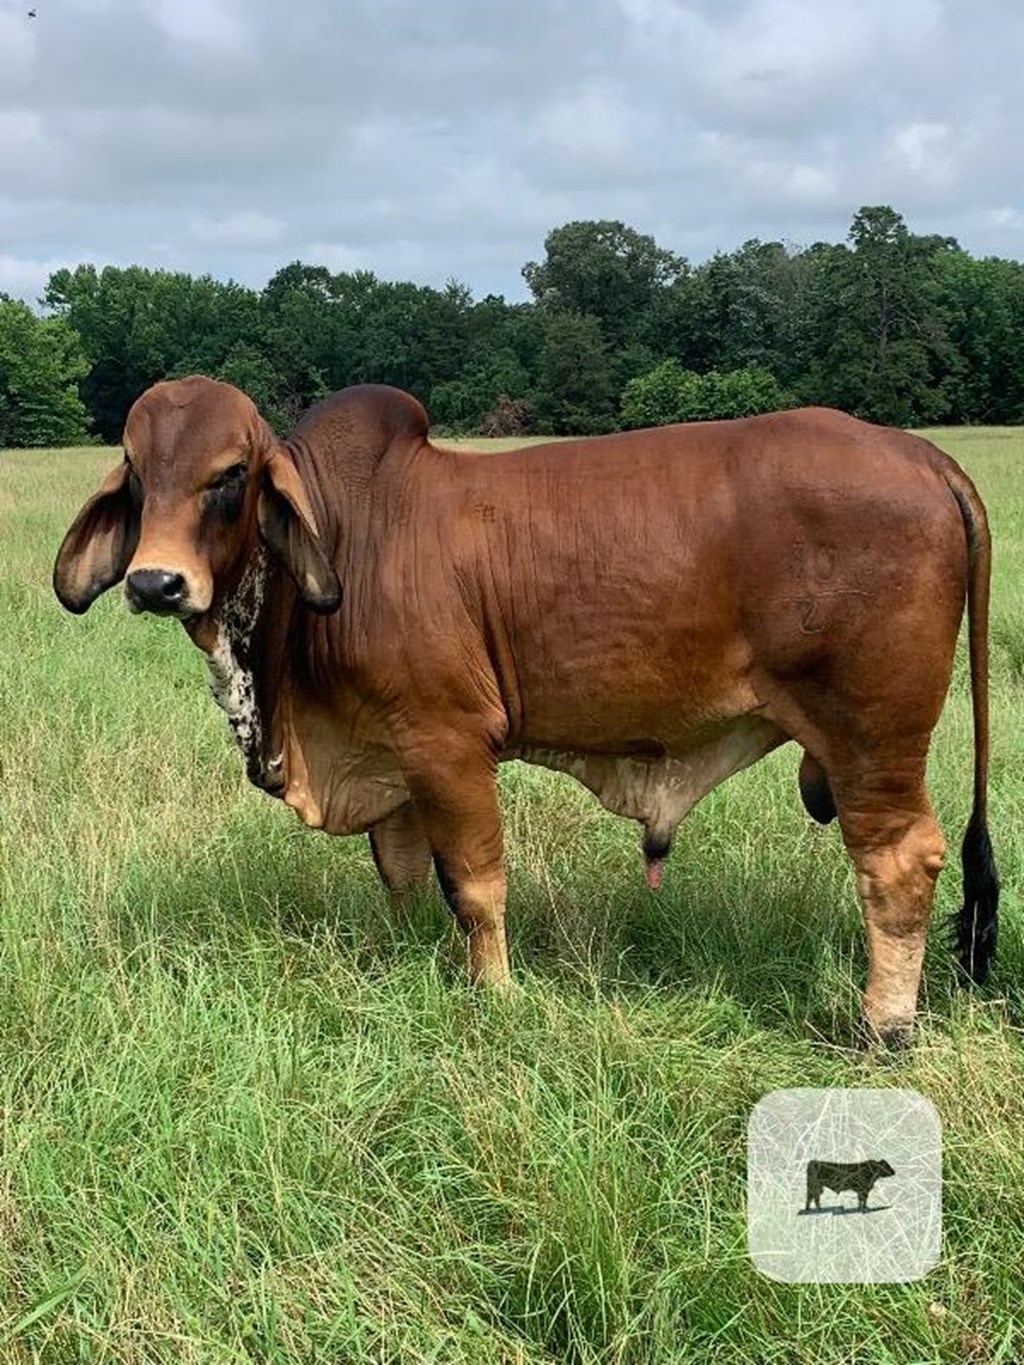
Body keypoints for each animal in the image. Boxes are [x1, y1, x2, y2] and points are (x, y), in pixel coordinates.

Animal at [52, 379, 999, 1037]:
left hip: (871, 735)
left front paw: (497, 993)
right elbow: (404, 874)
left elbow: (474, 884)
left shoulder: (447, 741)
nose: (156, 582)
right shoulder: (392, 755)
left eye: (232, 474)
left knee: (899, 863)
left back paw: (883, 1027)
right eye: (136, 471)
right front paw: (405, 958)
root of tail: (922, 456)